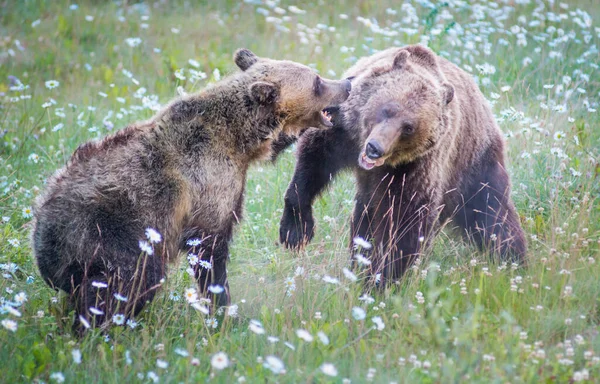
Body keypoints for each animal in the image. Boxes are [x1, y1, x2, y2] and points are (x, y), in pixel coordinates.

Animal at [31, 48, 352, 330]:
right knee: (129, 281)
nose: (347, 83)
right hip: (111, 231)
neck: (239, 140)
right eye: (317, 81)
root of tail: (43, 231)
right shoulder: (208, 185)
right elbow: (210, 251)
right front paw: (224, 310)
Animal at [280, 45, 524, 284]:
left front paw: (383, 276)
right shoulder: (341, 130)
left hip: (475, 165)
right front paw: (296, 231)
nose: (375, 148)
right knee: (364, 217)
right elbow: (312, 163)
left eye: (408, 127)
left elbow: (404, 224)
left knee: (493, 214)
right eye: (388, 109)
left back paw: (513, 259)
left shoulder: (414, 168)